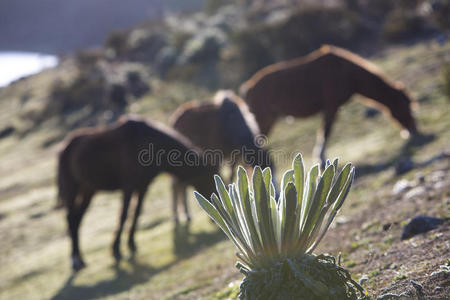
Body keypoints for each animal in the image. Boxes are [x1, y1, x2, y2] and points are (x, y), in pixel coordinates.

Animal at [57, 117, 219, 272]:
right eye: (209, 179)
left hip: (88, 190)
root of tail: (64, 147)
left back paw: (81, 259)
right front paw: (116, 250)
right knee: (71, 218)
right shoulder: (128, 187)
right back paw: (75, 261)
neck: (149, 143)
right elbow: (124, 216)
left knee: (77, 219)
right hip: (72, 189)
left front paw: (131, 244)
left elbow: (136, 213)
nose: (214, 216)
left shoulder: (143, 187)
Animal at [169, 89, 274, 220]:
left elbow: (232, 174)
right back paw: (179, 216)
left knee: (181, 184)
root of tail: (175, 118)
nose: (276, 196)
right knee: (177, 185)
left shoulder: (237, 155)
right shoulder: (216, 156)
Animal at [239, 45, 418, 165]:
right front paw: (320, 159)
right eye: (405, 106)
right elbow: (325, 132)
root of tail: (248, 88)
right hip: (264, 120)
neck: (347, 73)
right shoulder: (331, 107)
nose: (413, 130)